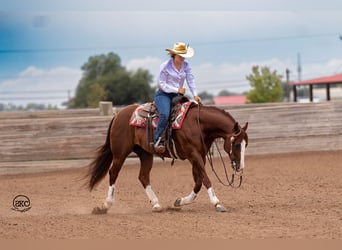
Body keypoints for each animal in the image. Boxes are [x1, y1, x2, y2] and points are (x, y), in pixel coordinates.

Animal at [87, 102, 248, 214]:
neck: (198, 125)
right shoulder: (193, 155)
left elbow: (198, 181)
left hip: (145, 154)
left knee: (143, 176)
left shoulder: (199, 156)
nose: (240, 167)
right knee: (113, 173)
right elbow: (205, 179)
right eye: (237, 144)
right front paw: (217, 203)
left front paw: (180, 201)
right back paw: (106, 205)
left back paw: (156, 204)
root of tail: (118, 115)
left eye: (246, 144)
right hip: (120, 153)